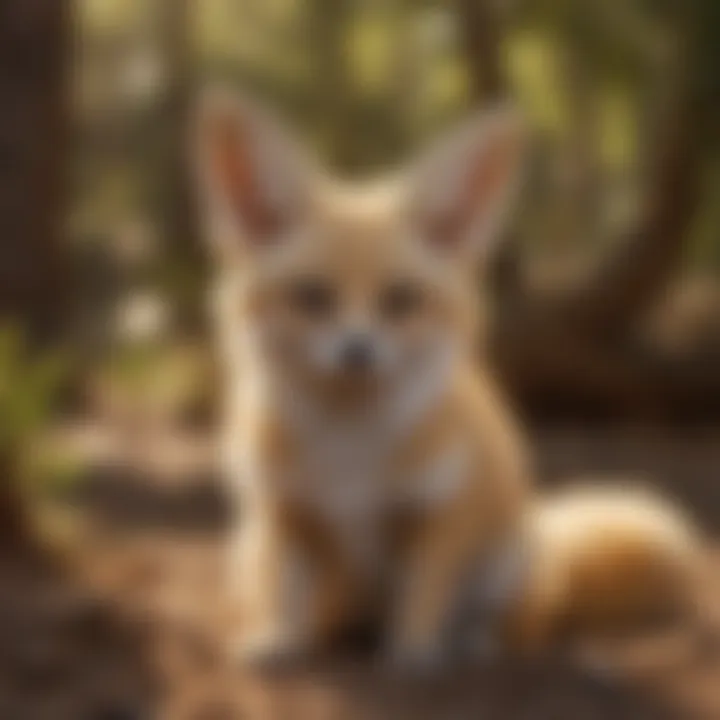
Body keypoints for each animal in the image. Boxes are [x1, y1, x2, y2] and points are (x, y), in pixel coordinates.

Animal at [195, 88, 528, 668]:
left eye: (401, 300)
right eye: (312, 297)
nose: (358, 350)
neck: (350, 460)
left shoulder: (439, 513)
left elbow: (424, 593)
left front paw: (413, 654)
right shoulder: (284, 511)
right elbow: (286, 592)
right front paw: (279, 641)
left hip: (509, 559)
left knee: (488, 617)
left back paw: (472, 643)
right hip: (249, 546)